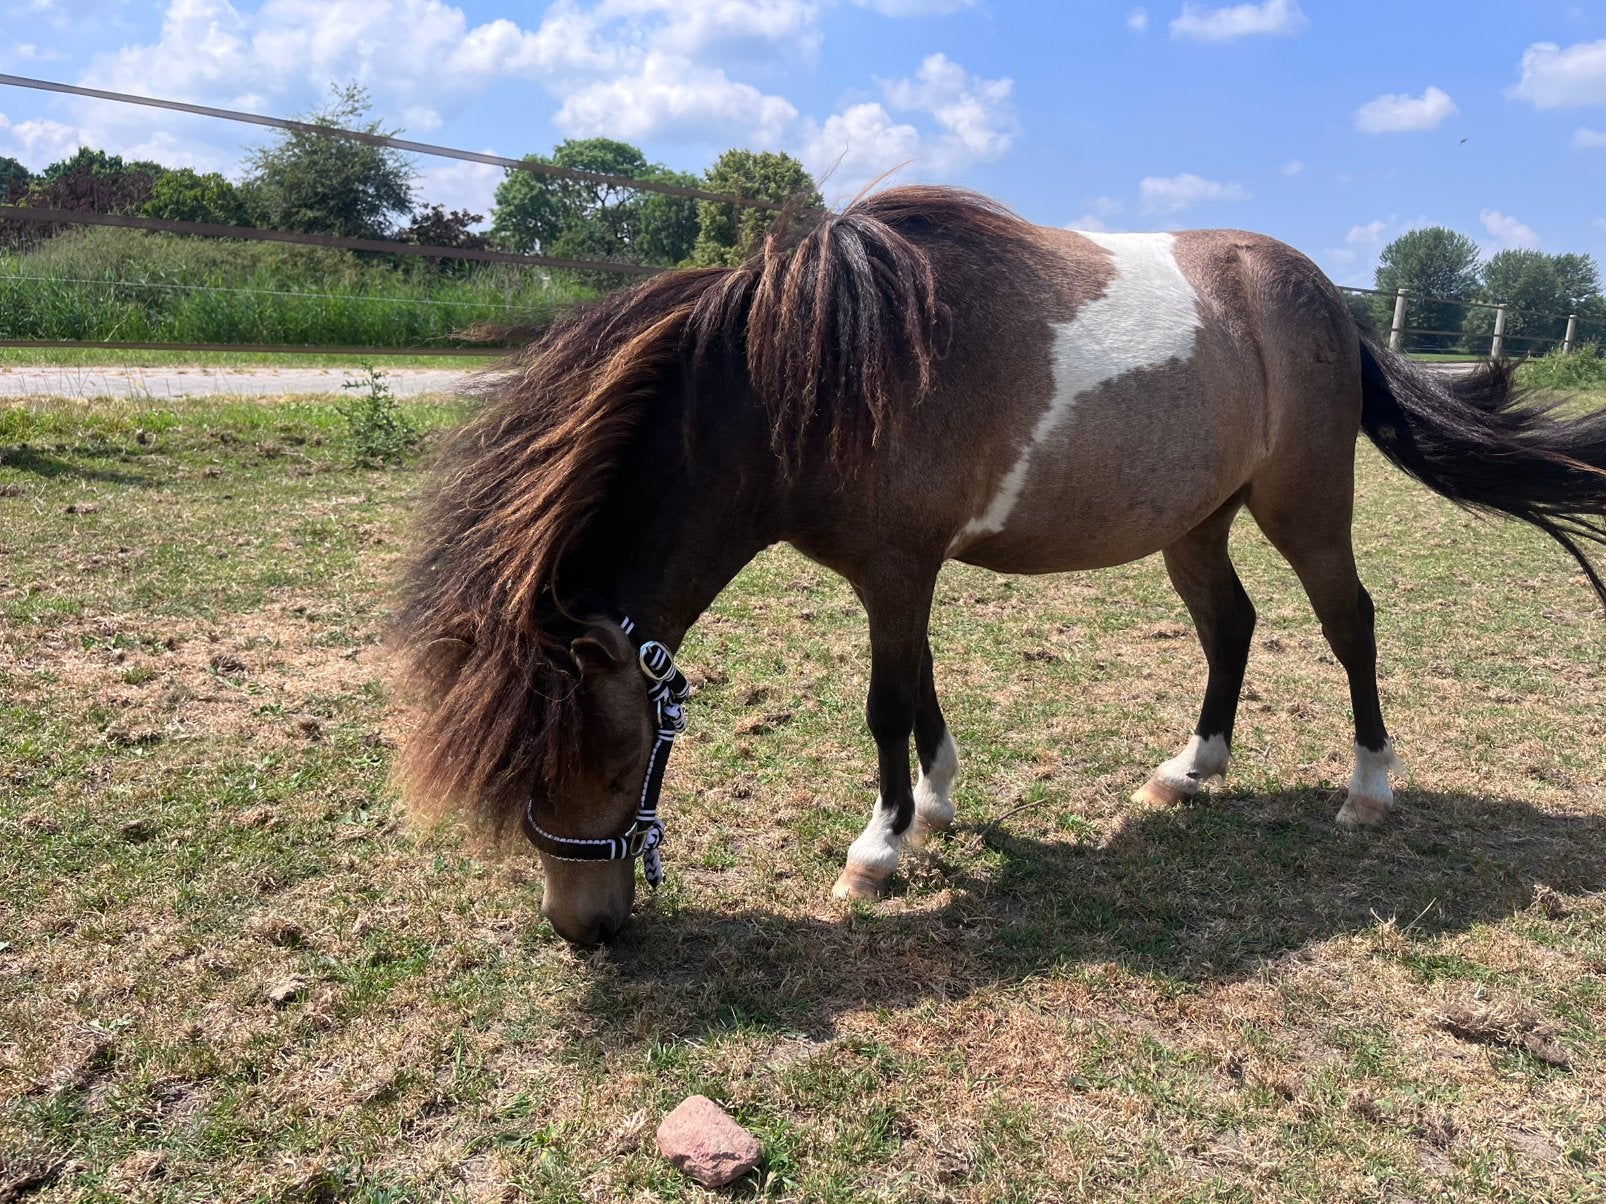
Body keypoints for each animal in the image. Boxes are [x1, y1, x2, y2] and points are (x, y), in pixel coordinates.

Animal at [394, 185, 1606, 945]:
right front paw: (932, 809)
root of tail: (1327, 300)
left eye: (612, 760)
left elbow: (886, 702)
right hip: (1196, 522)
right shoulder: (904, 573)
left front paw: (878, 848)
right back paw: (1191, 769)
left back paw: (1368, 790)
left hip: (1303, 506)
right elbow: (922, 687)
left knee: (1349, 621)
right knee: (1231, 626)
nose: (582, 929)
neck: (813, 382)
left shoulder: (895, 568)